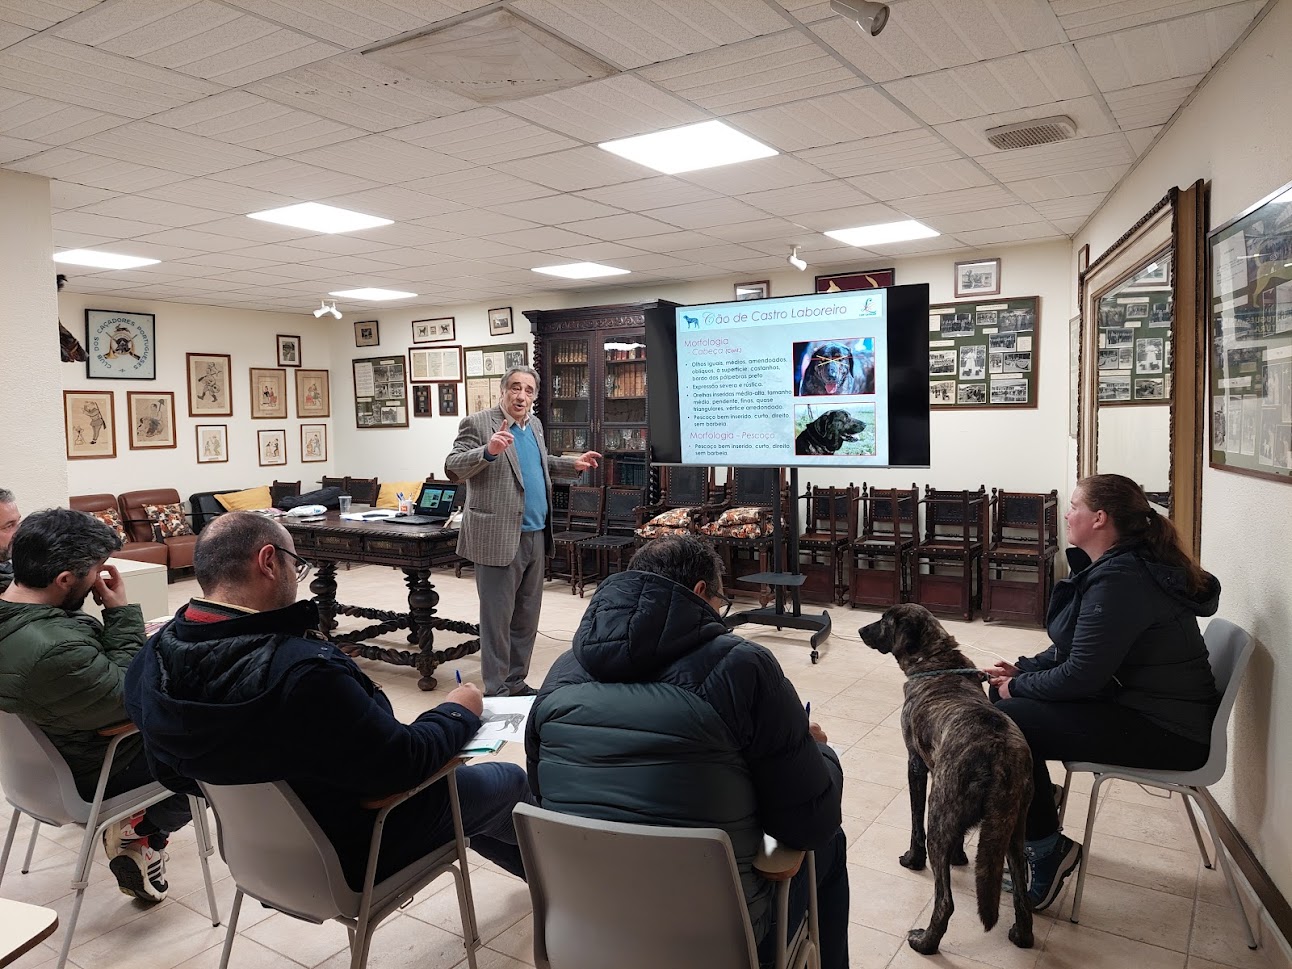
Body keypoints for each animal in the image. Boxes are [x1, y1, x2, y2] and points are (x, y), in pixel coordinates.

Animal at [863, 607, 1033, 956]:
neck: (936, 660)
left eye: (885, 621)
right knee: (1022, 893)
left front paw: (912, 860)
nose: (860, 630)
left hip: (939, 814)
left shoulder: (916, 765)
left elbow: (914, 823)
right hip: (1013, 827)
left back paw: (925, 942)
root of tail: (1000, 754)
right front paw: (959, 858)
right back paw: (1021, 935)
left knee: (945, 901)